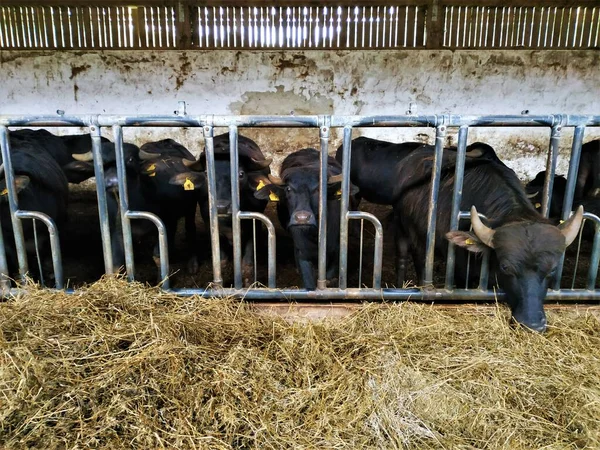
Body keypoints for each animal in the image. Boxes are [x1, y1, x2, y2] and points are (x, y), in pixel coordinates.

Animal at [169, 132, 272, 284]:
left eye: (241, 174)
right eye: (207, 174)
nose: (221, 207)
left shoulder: (254, 225)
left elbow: (247, 263)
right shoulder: (212, 227)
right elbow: (221, 261)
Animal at [254, 148, 356, 288]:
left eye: (319, 189)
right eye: (288, 188)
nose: (302, 218)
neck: (315, 235)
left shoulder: (336, 253)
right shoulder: (303, 253)